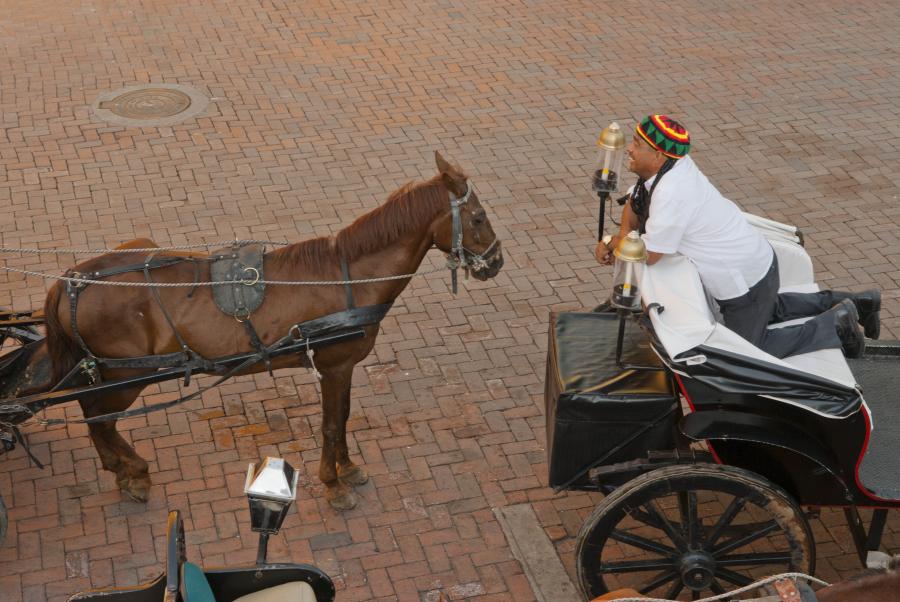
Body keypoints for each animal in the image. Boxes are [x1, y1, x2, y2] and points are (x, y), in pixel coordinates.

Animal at [42, 152, 502, 508]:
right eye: (479, 217)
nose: (497, 261)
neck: (349, 278)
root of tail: (73, 279)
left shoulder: (343, 367)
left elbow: (343, 417)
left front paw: (349, 469)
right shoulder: (333, 366)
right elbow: (331, 424)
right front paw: (333, 484)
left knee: (95, 416)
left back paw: (122, 470)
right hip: (126, 374)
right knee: (101, 419)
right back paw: (132, 471)